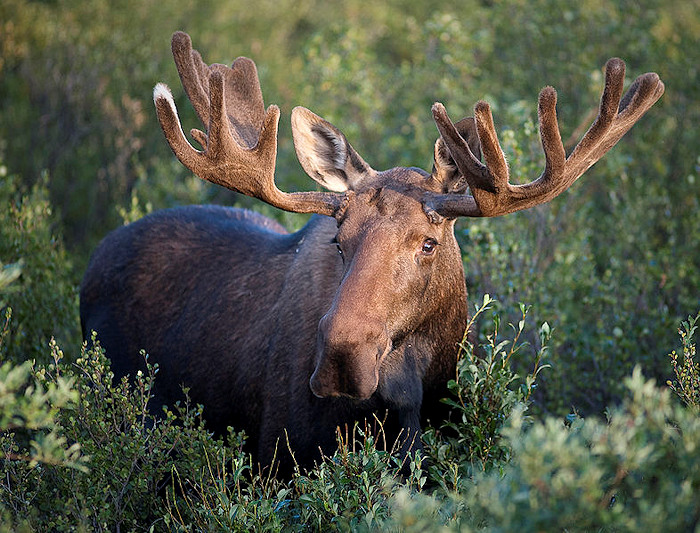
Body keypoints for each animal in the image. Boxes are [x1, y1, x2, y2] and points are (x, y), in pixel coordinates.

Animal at [79, 32, 664, 474]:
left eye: (428, 242)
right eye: (338, 240)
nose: (342, 358)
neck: (407, 401)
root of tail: (97, 253)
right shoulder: (275, 462)